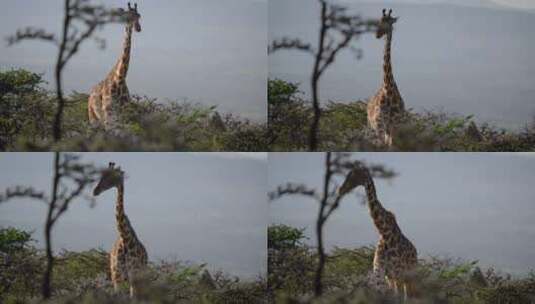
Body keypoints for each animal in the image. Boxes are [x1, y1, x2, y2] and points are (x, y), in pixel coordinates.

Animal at [93, 162, 148, 296]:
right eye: (102, 175)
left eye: (112, 177)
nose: (95, 191)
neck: (125, 239)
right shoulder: (116, 277)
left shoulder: (134, 276)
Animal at [340, 164, 418, 300]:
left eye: (354, 174)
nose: (341, 190)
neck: (385, 233)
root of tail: (415, 252)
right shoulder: (383, 274)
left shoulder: (397, 273)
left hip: (409, 277)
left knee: (409, 296)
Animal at [368, 8, 406, 147]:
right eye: (379, 21)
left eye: (388, 22)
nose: (377, 34)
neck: (388, 89)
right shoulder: (380, 124)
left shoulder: (395, 125)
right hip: (374, 126)